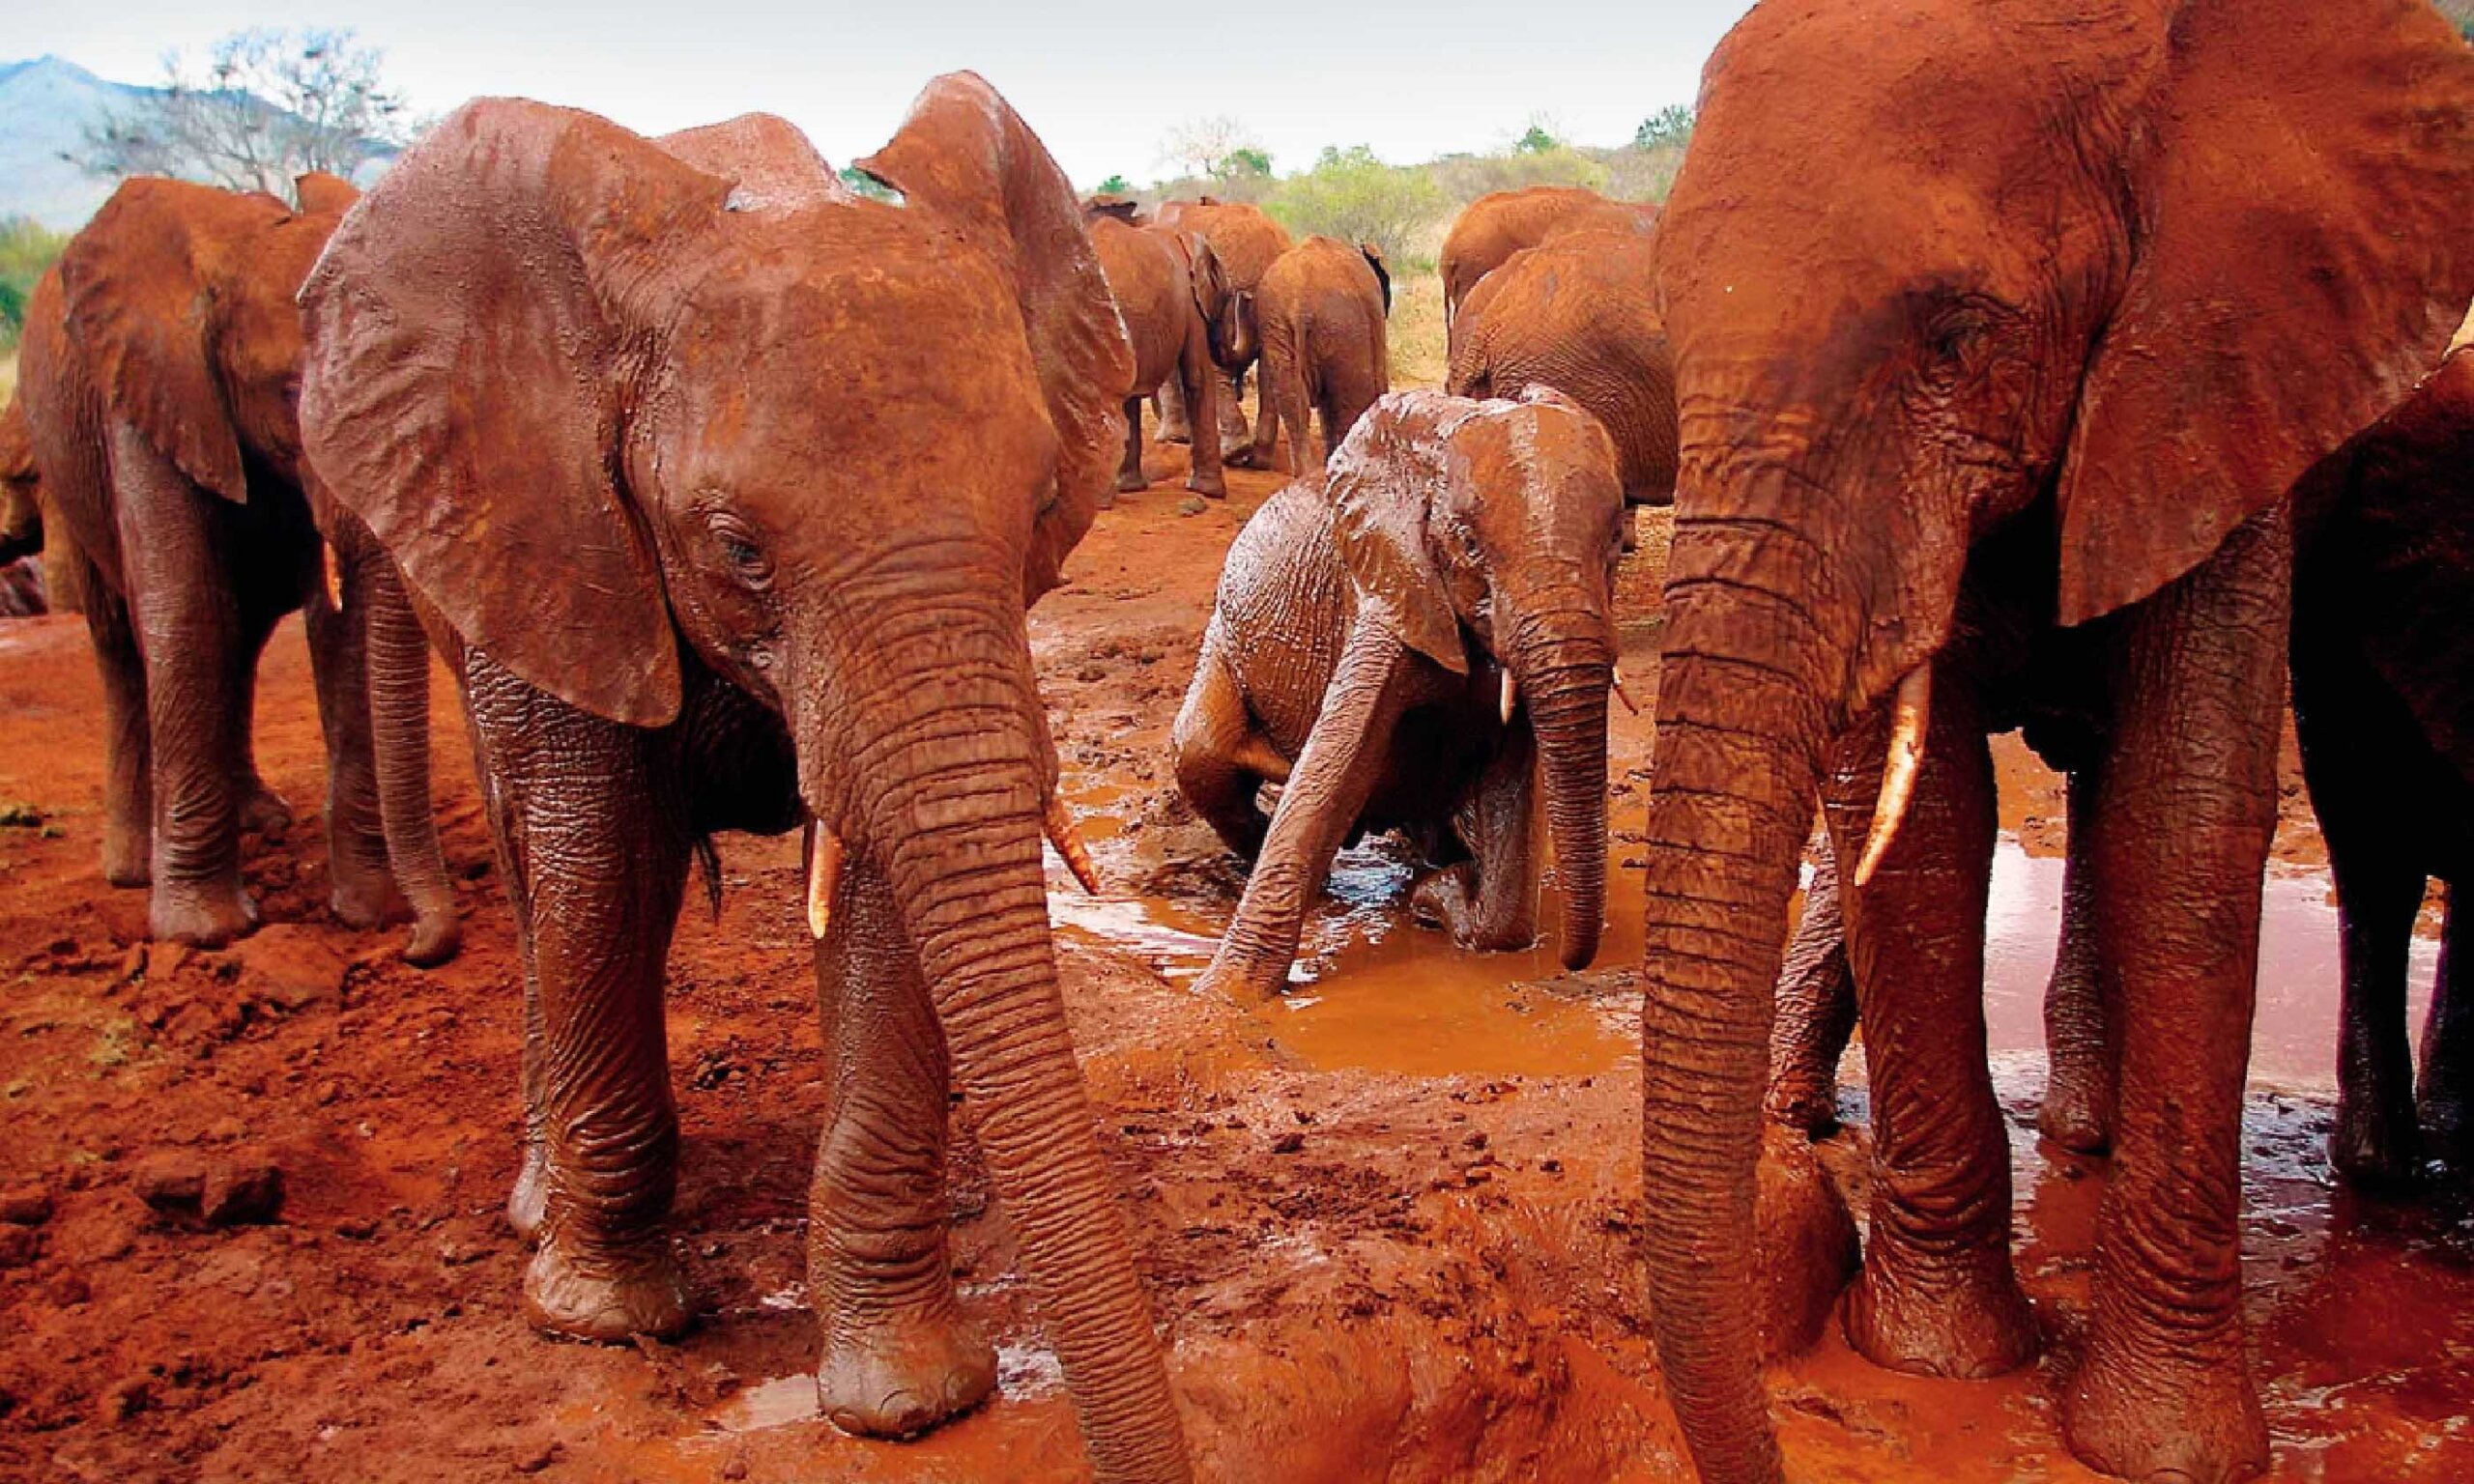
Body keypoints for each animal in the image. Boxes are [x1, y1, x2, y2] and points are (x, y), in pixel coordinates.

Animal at [15, 177, 458, 962]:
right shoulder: (148, 393)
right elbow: (184, 607)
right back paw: (133, 868)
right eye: (288, 392)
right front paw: (206, 932)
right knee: (124, 640)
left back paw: (261, 822)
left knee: (243, 633)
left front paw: (367, 913)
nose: (417, 944)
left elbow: (341, 633)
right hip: (65, 469)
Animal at [294, 80, 1191, 1484]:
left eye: (1042, 499)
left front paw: (906, 1400)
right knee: (539, 876)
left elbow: (878, 880)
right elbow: (603, 855)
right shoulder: (559, 531)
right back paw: (540, 1212)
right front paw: (602, 1322)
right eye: (736, 548)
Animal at [1173, 387, 1623, 1001]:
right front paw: (1224, 997)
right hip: (1222, 638)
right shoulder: (1387, 589)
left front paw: (1437, 899)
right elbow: (1333, 769)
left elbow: (1511, 787)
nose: (1574, 964)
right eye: (1468, 545)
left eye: (1618, 543)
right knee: (1201, 756)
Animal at [1633, 3, 2474, 1482]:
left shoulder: (2213, 360)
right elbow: (1924, 828)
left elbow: (2183, 816)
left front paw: (2160, 1447)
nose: (1775, 1444)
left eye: (1959, 336)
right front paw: (1938, 1360)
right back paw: (2084, 1127)